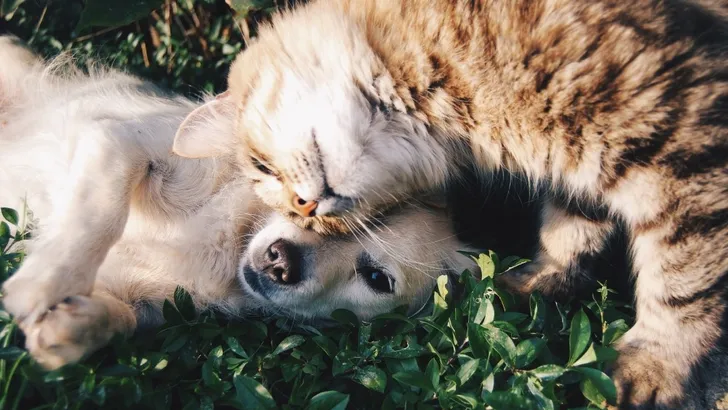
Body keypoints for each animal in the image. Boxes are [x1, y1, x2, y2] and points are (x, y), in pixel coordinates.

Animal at [173, 1, 728, 408]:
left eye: (261, 167)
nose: (306, 209)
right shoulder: (582, 168)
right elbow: (571, 229)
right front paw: (537, 283)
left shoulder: (681, 144)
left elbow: (682, 282)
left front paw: (654, 366)